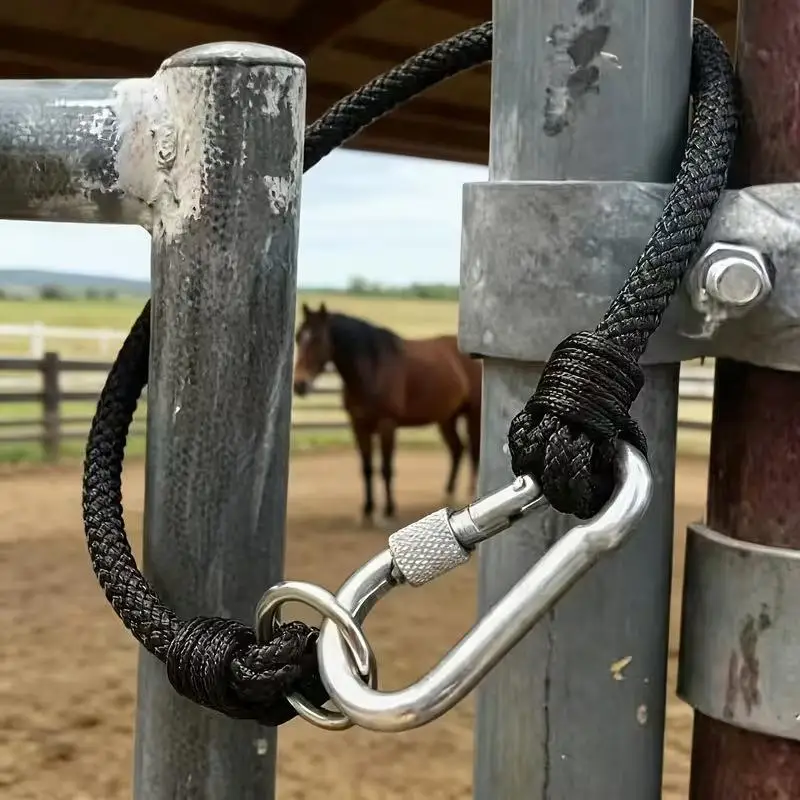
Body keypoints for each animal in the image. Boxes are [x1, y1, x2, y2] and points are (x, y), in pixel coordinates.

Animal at [292, 302, 482, 525]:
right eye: (298, 337)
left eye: (318, 339)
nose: (300, 385)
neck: (372, 368)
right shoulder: (359, 426)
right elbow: (367, 468)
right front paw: (367, 510)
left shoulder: (387, 425)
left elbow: (386, 468)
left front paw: (389, 510)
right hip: (446, 418)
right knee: (457, 450)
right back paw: (448, 493)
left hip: (473, 415)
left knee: (473, 452)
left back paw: (471, 493)